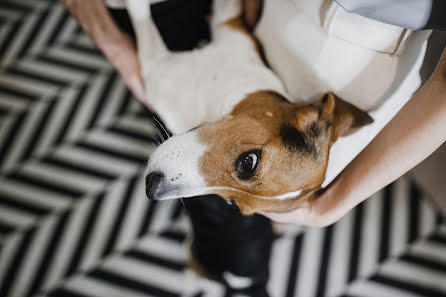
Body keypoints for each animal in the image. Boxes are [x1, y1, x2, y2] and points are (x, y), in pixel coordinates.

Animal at [125, 0, 372, 292]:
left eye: (233, 206)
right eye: (248, 162)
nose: (151, 188)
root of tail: (255, 279)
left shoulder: (155, 69)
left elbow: (141, 19)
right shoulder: (230, 25)